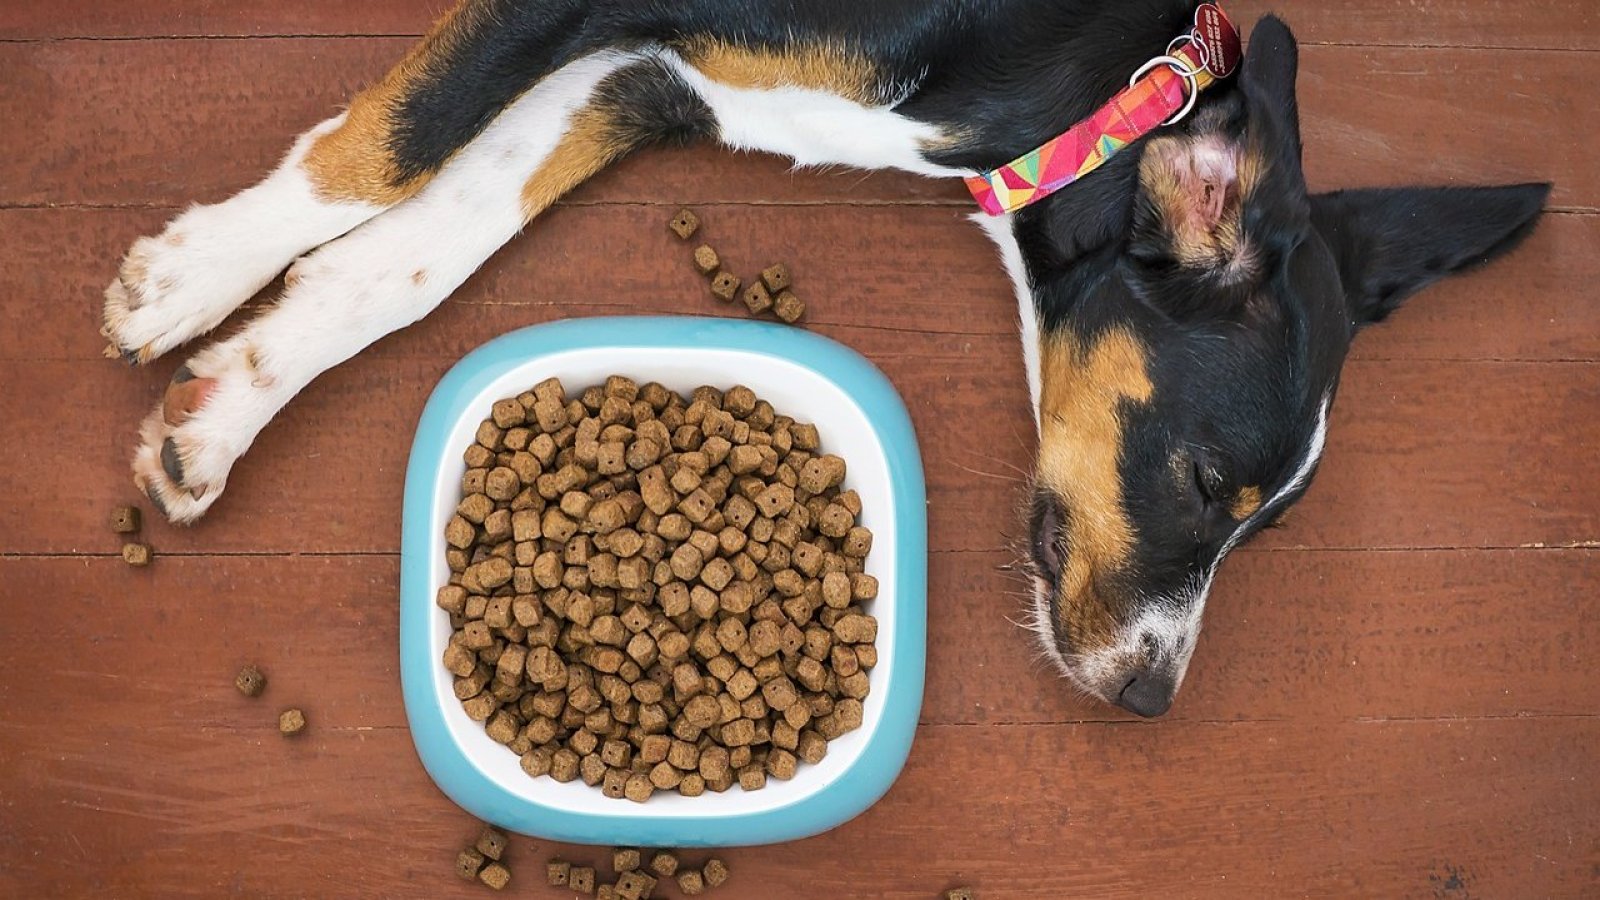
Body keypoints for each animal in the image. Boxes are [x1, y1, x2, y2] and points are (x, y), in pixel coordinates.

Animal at [103, 0, 1548, 714]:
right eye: (1203, 484)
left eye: (1266, 529)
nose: (1148, 700)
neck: (1098, 82)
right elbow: (392, 143)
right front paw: (190, 277)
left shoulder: (646, 78)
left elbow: (419, 250)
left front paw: (230, 398)